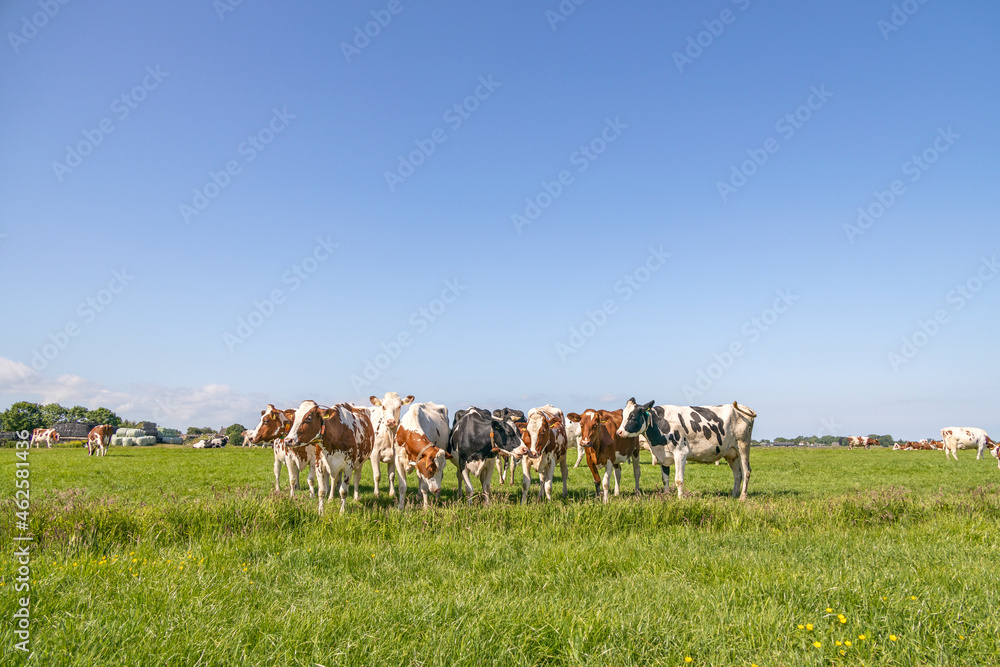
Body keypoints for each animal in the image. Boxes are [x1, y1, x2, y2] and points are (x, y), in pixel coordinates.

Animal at [612, 396, 752, 500]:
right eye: (623, 416)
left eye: (633, 417)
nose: (619, 432)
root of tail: (744, 408)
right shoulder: (663, 456)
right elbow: (665, 479)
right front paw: (666, 496)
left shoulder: (680, 453)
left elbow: (678, 480)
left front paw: (680, 499)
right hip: (731, 453)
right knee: (738, 474)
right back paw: (733, 495)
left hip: (743, 446)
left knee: (746, 471)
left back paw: (743, 497)